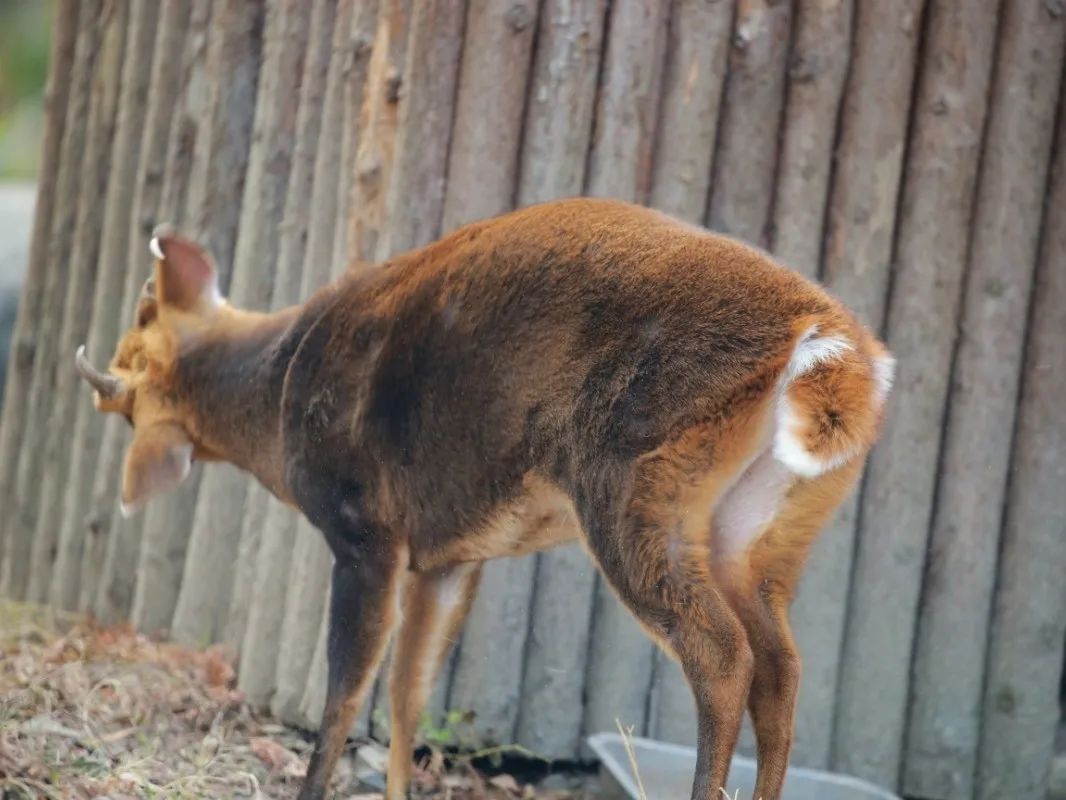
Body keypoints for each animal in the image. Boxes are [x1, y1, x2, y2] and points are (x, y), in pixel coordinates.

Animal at [70, 199, 895, 800]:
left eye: (137, 325)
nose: (108, 365)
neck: (278, 390)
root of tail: (834, 349)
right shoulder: (449, 557)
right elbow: (408, 692)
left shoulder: (364, 528)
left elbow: (347, 691)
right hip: (762, 528)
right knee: (782, 666)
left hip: (636, 484)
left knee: (724, 657)